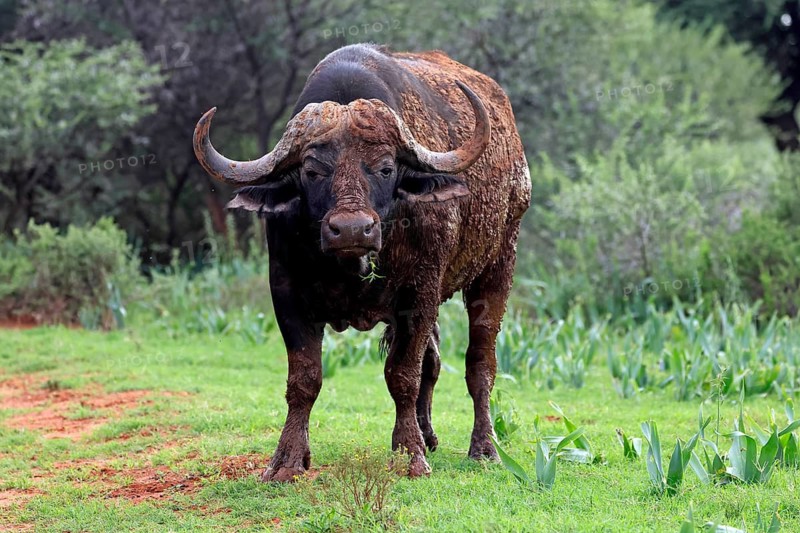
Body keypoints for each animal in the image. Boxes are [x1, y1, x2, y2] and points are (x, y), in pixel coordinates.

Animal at [193, 44, 531, 481]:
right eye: (311, 170)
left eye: (386, 168)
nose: (353, 229)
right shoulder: (286, 293)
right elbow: (304, 379)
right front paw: (286, 460)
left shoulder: (419, 295)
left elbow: (402, 374)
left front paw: (410, 456)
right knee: (435, 361)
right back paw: (429, 436)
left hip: (498, 263)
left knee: (480, 364)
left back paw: (484, 449)